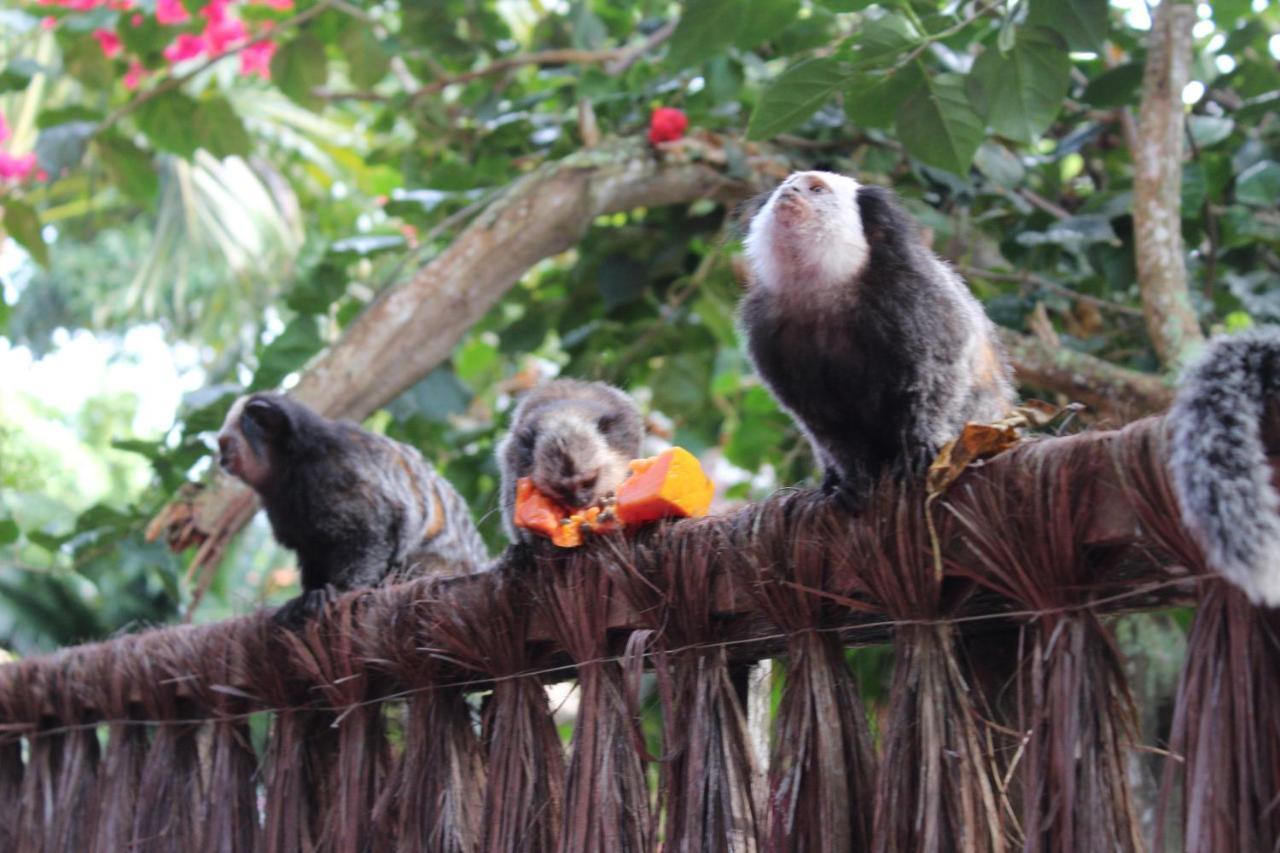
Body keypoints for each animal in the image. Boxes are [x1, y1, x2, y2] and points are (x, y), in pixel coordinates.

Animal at [217, 391, 486, 625]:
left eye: (225, 445)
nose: (221, 461)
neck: (292, 462)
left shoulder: (336, 475)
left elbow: (370, 533)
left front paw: (337, 591)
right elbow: (312, 549)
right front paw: (311, 593)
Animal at [742, 171, 1008, 504]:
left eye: (816, 189)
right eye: (785, 186)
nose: (789, 192)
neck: (824, 293)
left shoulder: (913, 295)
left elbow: (939, 373)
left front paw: (922, 444)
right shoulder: (765, 328)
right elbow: (821, 419)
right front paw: (852, 475)